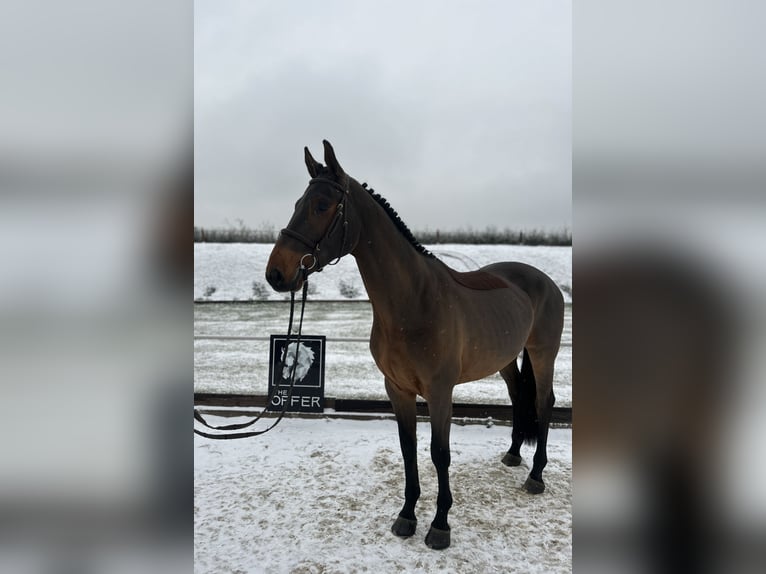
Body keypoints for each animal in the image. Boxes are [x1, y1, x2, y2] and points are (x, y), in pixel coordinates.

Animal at [268, 142, 568, 552]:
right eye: (299, 202)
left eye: (322, 206)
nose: (276, 273)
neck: (413, 302)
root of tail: (547, 282)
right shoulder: (397, 389)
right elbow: (408, 448)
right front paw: (407, 515)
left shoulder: (440, 392)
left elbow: (439, 453)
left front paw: (440, 525)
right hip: (506, 360)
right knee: (519, 398)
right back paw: (512, 455)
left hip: (542, 354)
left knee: (543, 401)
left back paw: (536, 476)